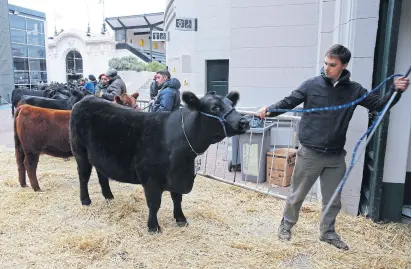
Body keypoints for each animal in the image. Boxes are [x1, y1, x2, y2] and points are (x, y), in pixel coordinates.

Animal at [69, 90, 249, 232]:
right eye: (215, 108)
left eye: (231, 104)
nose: (244, 122)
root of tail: (86, 99)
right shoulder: (150, 177)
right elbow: (154, 203)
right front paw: (153, 227)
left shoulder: (177, 175)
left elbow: (177, 198)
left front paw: (181, 219)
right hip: (80, 152)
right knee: (83, 177)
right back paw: (85, 200)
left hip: (99, 156)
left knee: (102, 175)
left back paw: (109, 196)